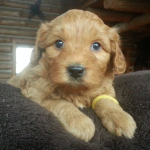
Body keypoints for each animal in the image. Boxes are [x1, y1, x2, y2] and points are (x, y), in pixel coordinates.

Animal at [8, 9, 137, 142]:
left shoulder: (106, 88)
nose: (75, 70)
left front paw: (121, 119)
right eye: (59, 43)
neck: (76, 90)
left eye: (96, 46)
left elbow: (106, 100)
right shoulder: (34, 94)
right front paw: (80, 122)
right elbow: (60, 103)